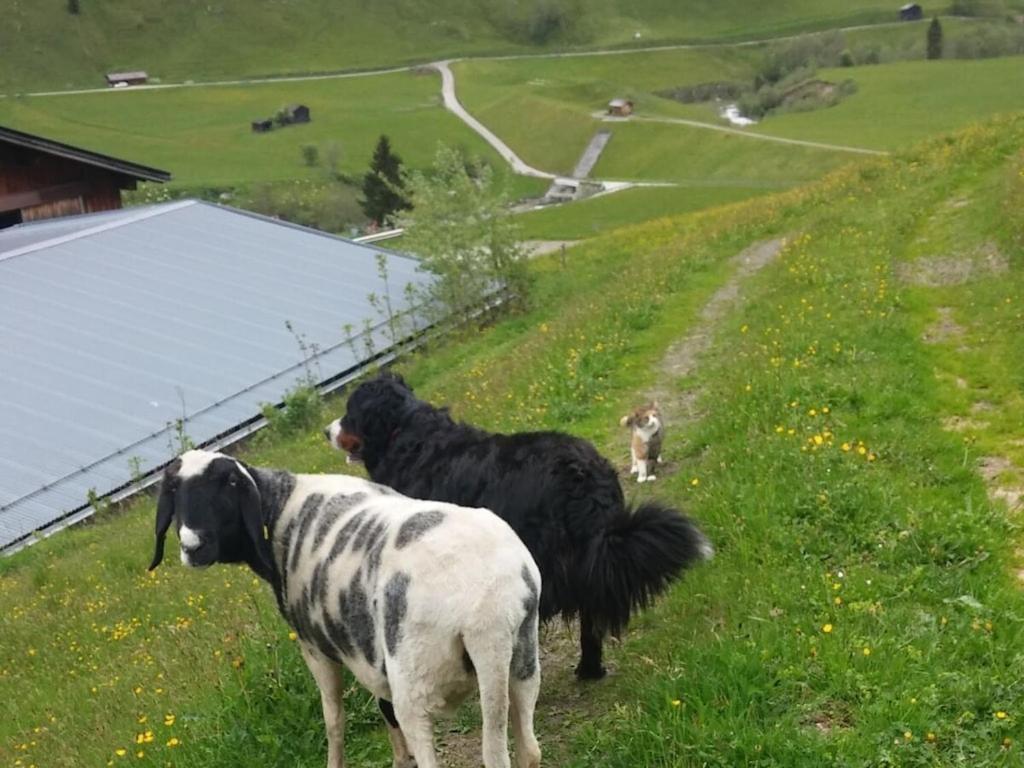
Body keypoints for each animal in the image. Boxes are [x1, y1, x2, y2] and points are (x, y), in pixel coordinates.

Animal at [148, 450, 544, 768]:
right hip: (522, 659)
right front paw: (400, 760)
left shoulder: (315, 648)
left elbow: (334, 719)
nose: (193, 546)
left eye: (229, 483)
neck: (279, 508)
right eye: (174, 491)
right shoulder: (370, 652)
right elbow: (383, 708)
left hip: (416, 679)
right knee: (529, 750)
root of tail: (486, 609)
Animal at [325, 372, 712, 679]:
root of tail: (583, 474)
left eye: (350, 411)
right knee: (591, 613)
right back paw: (589, 669)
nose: (326, 430)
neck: (404, 431)